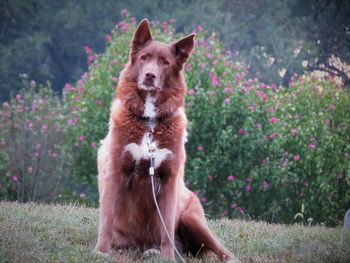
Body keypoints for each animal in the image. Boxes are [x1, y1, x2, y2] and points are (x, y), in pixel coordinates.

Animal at [95, 18, 238, 262]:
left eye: (165, 62)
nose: (150, 75)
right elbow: (106, 218)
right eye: (144, 58)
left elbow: (167, 226)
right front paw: (100, 252)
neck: (150, 122)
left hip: (192, 219)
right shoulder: (115, 171)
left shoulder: (169, 178)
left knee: (219, 250)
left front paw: (168, 257)